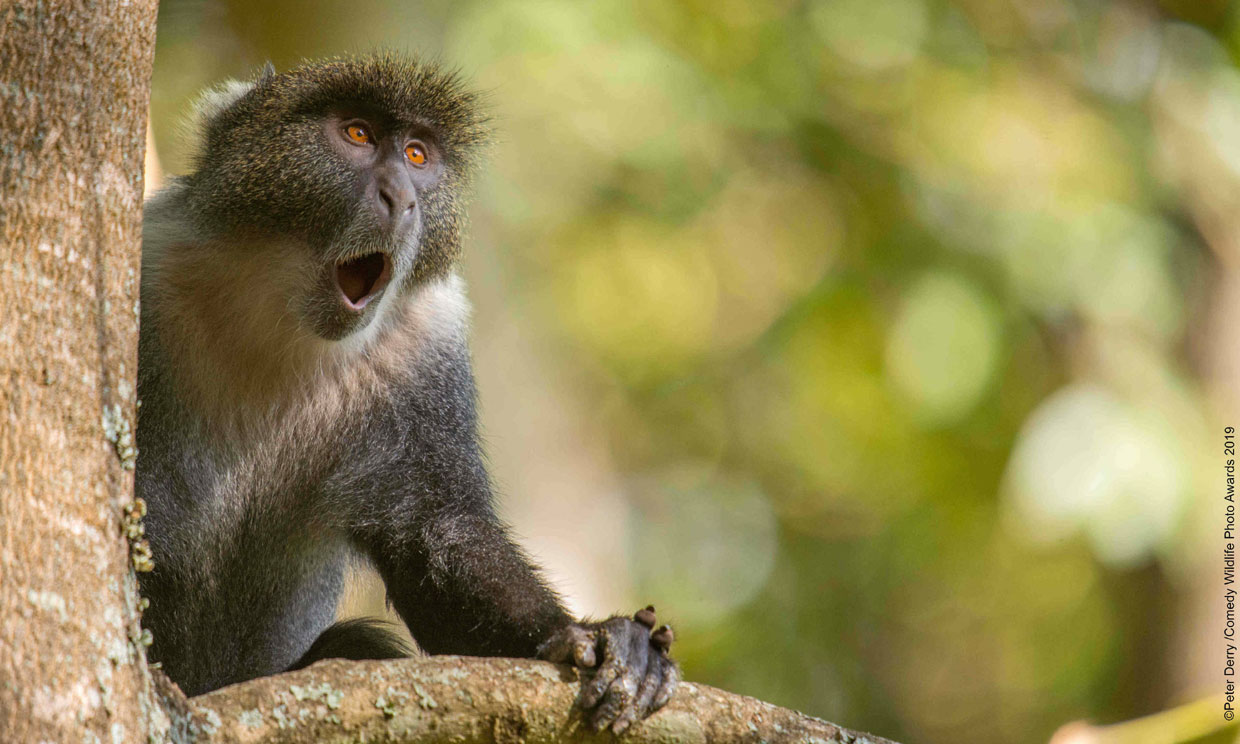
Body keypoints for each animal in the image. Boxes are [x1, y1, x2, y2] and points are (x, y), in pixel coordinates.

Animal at [135, 56, 679, 734]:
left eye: (418, 155)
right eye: (358, 134)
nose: (403, 198)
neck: (277, 316)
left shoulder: (426, 346)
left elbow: (435, 532)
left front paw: (606, 641)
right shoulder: (149, 268)